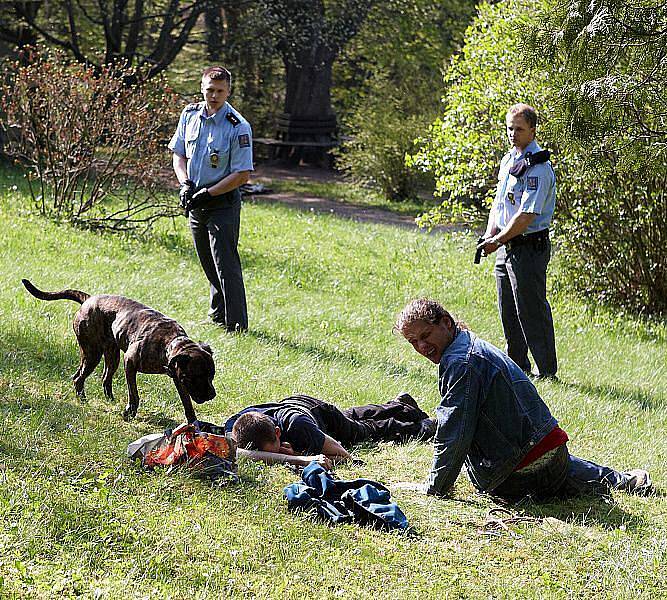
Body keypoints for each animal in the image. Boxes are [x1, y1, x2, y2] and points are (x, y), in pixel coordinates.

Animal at [22, 280, 215, 422]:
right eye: (198, 376)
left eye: (211, 376)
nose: (212, 395)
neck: (170, 343)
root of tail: (89, 299)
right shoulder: (129, 363)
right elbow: (133, 394)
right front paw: (130, 412)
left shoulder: (179, 379)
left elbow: (187, 403)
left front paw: (193, 423)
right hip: (92, 354)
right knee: (78, 377)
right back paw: (83, 400)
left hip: (111, 356)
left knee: (104, 378)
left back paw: (109, 399)